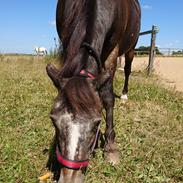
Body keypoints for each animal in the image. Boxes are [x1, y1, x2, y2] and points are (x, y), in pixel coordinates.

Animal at [46, 0, 141, 182]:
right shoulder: (66, 40)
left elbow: (108, 98)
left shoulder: (113, 51)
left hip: (131, 48)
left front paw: (110, 148)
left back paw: (124, 94)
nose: (69, 178)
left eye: (97, 122)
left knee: (127, 69)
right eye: (53, 120)